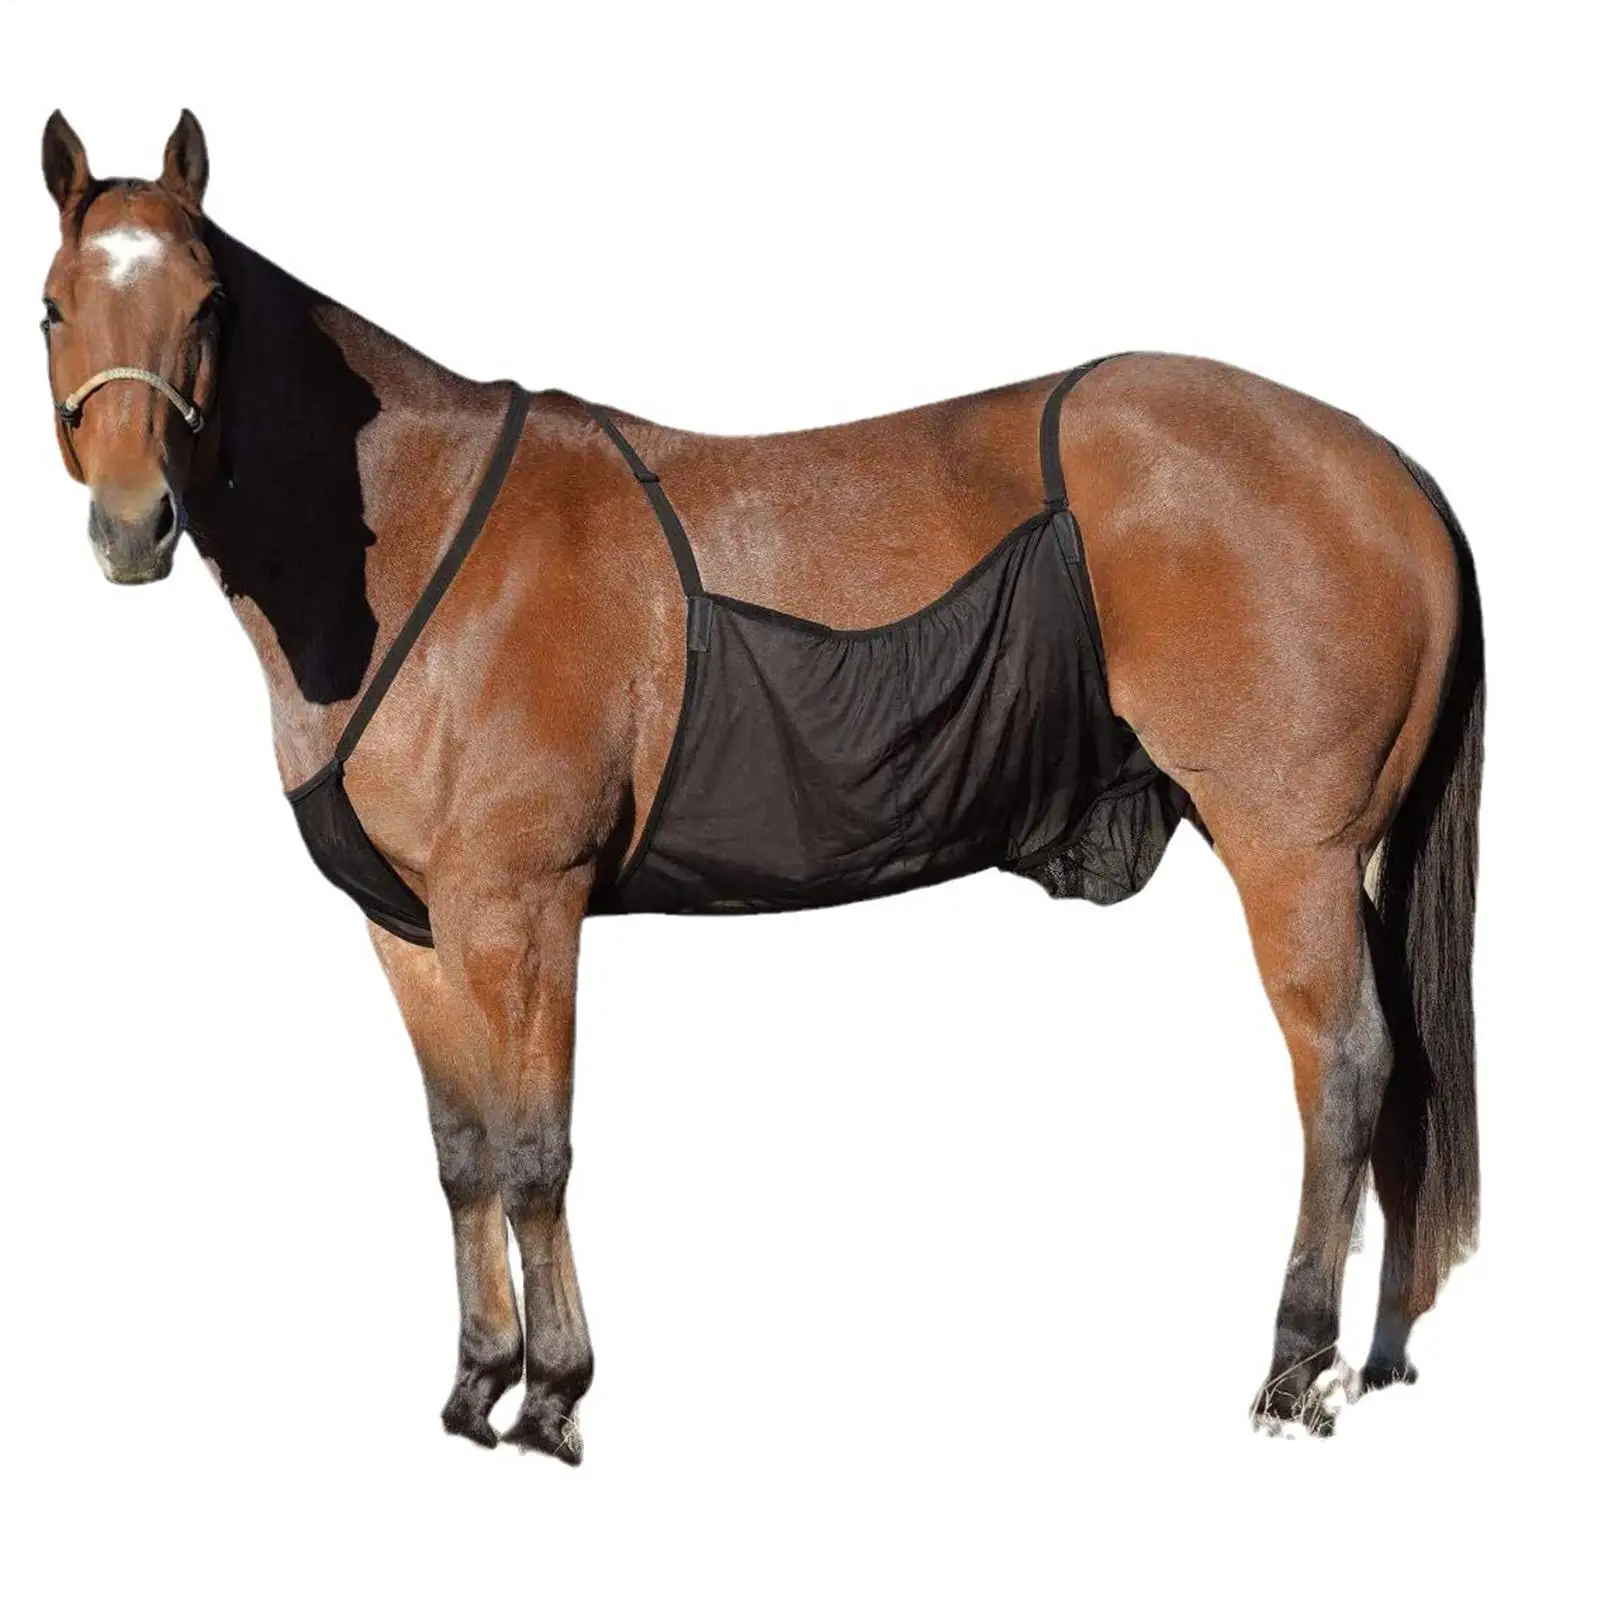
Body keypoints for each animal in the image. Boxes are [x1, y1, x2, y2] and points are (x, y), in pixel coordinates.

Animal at [38, 109, 1482, 1460]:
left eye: (208, 306)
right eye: (53, 304)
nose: (132, 525)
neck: (415, 546)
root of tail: (1388, 470)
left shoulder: (522, 907)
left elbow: (534, 1151)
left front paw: (553, 1396)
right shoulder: (414, 926)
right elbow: (461, 1158)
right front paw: (476, 1381)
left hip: (1293, 853)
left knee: (1343, 1068)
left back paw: (1292, 1368)